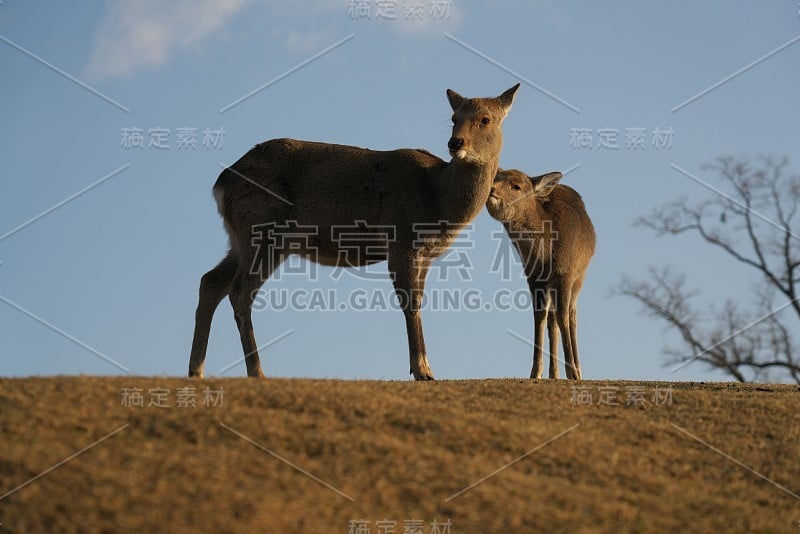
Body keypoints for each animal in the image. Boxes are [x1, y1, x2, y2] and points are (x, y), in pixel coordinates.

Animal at [188, 85, 520, 382]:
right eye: (454, 117)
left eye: (485, 119)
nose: (455, 142)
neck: (438, 199)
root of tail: (221, 183)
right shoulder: (401, 238)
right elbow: (409, 301)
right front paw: (423, 370)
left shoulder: (424, 254)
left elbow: (419, 299)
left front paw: (423, 367)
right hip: (263, 228)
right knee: (239, 290)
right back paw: (256, 371)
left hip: (241, 237)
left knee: (210, 281)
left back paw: (196, 370)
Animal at [484, 170, 596, 378]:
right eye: (495, 178)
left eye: (516, 186)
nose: (491, 189)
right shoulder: (533, 277)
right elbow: (539, 317)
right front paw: (535, 372)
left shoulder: (565, 274)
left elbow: (563, 316)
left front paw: (572, 373)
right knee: (552, 319)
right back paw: (554, 374)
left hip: (580, 277)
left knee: (571, 314)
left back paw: (577, 370)